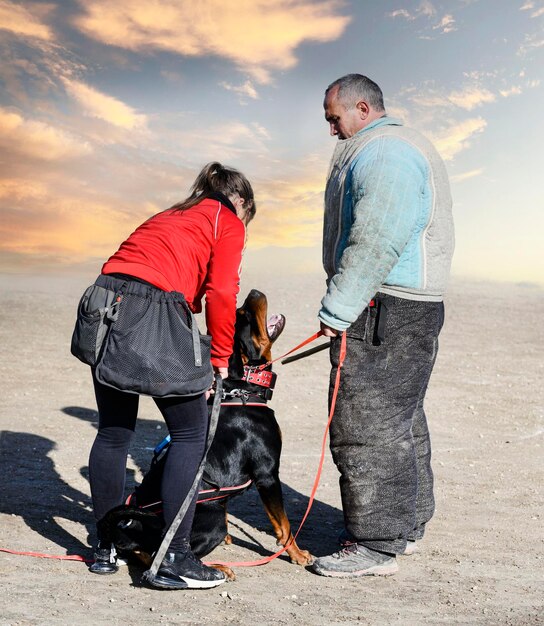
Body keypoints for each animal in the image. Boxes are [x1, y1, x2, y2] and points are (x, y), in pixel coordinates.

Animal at [95, 288, 312, 576]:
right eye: (245, 316)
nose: (254, 291)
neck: (242, 391)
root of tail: (131, 528)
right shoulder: (267, 474)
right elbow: (285, 526)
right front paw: (298, 554)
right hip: (212, 522)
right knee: (154, 557)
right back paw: (215, 567)